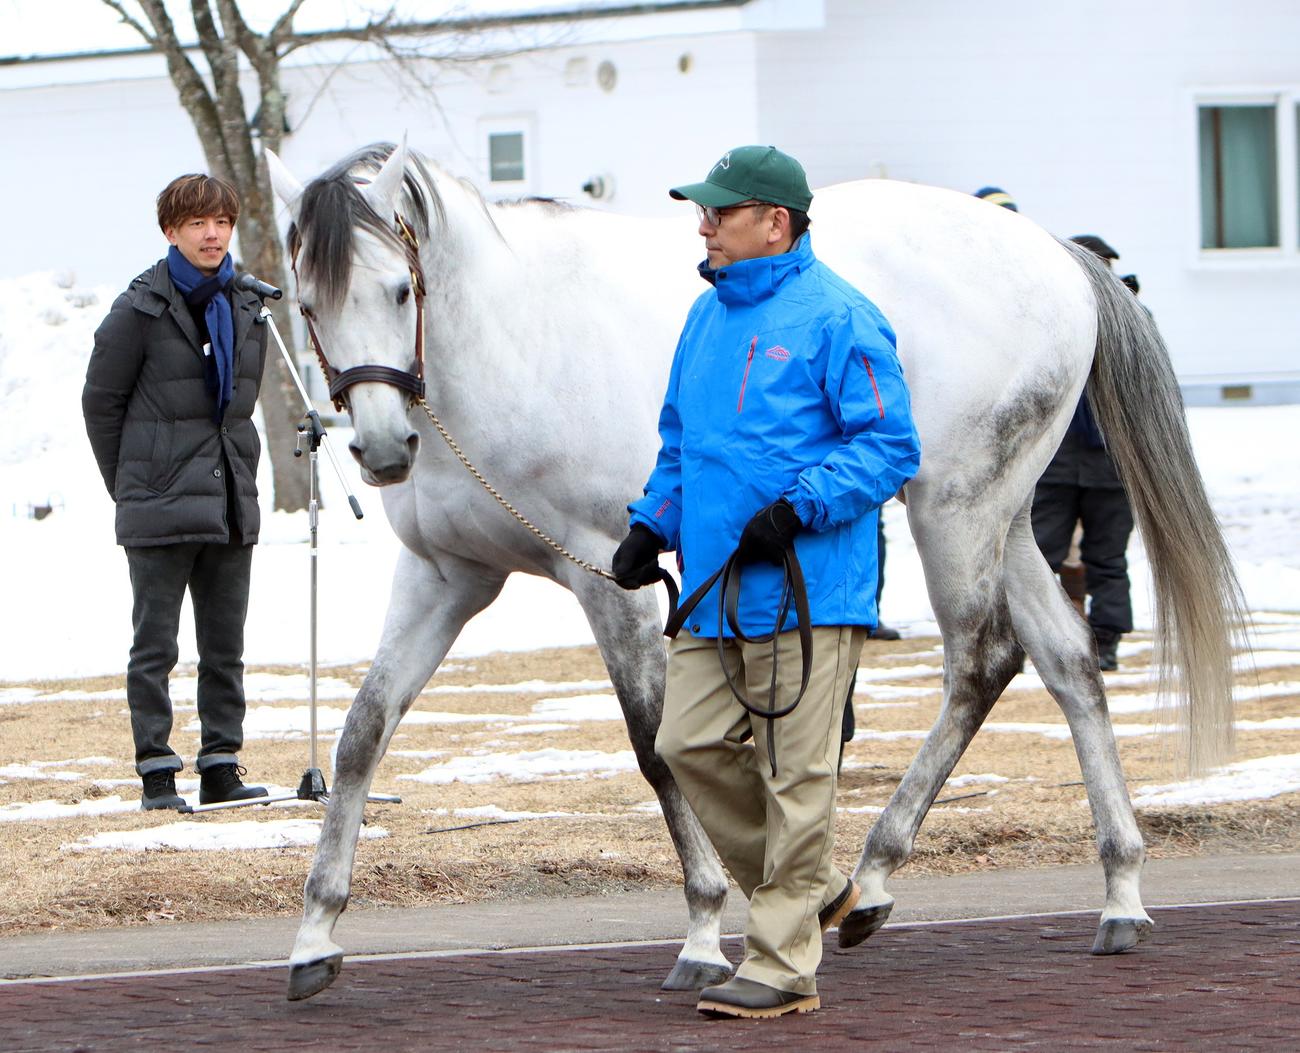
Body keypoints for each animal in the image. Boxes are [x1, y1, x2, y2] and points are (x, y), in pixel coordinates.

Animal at [266, 142, 1244, 1002]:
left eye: (399, 287)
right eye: (308, 301)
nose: (382, 448)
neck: (505, 341)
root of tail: (1060, 257)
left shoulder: (609, 577)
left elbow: (655, 747)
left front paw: (703, 932)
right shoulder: (446, 577)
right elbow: (362, 733)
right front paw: (314, 936)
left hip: (952, 506)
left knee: (980, 660)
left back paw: (872, 877)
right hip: (1004, 518)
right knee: (1069, 662)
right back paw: (1120, 894)